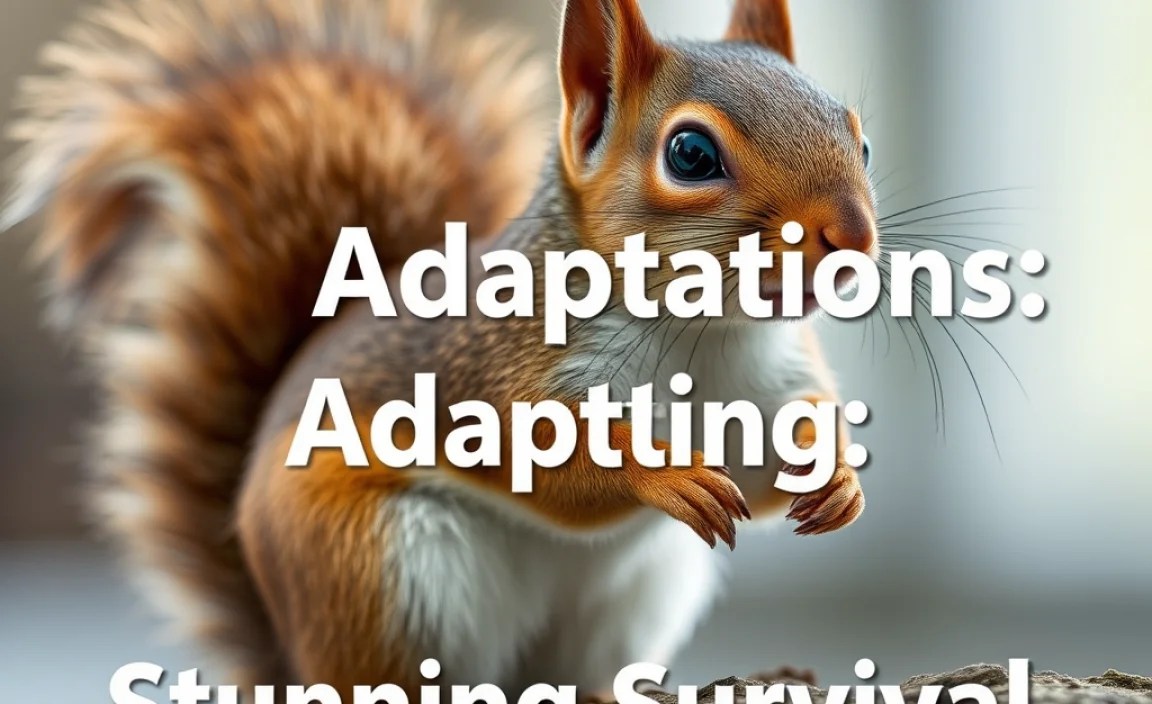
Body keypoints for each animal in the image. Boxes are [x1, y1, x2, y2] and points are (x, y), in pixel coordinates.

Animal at [5, 0, 875, 698]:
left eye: (859, 139)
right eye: (691, 155)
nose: (855, 237)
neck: (701, 333)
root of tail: (292, 663)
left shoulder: (770, 382)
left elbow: (774, 462)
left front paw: (835, 476)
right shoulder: (496, 369)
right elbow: (545, 461)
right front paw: (659, 471)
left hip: (632, 596)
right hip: (379, 573)